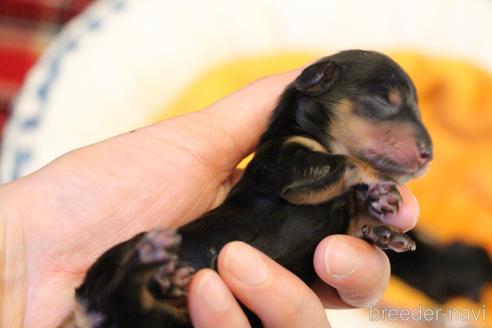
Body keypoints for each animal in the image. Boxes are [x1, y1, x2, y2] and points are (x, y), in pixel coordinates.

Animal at [64, 49, 430, 328]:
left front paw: (385, 224)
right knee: (122, 297)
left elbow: (355, 222)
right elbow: (342, 161)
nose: (430, 154)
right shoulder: (285, 165)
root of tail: (80, 306)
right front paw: (377, 183)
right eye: (383, 101)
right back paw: (148, 258)